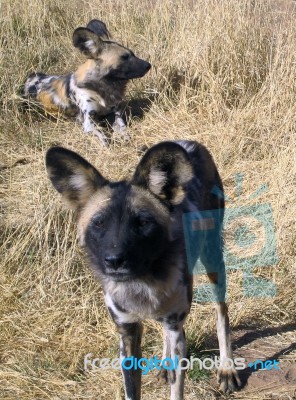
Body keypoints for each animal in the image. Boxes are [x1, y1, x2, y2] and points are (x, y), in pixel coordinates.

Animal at [45, 141, 240, 400]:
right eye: (99, 223)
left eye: (143, 223)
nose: (114, 261)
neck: (142, 283)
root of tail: (190, 143)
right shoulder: (127, 333)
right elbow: (131, 389)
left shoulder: (174, 325)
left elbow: (176, 390)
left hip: (213, 263)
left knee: (221, 314)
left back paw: (227, 368)